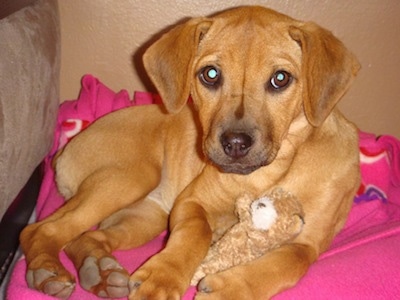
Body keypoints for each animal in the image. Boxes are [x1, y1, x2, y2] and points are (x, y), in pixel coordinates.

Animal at [20, 5, 360, 300]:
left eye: (280, 78)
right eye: (210, 74)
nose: (235, 144)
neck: (271, 172)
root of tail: (64, 150)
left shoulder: (306, 243)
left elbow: (286, 264)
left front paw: (232, 288)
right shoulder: (192, 201)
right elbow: (196, 232)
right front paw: (163, 277)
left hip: (145, 217)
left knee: (83, 237)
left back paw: (100, 272)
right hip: (130, 177)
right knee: (41, 229)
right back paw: (48, 272)